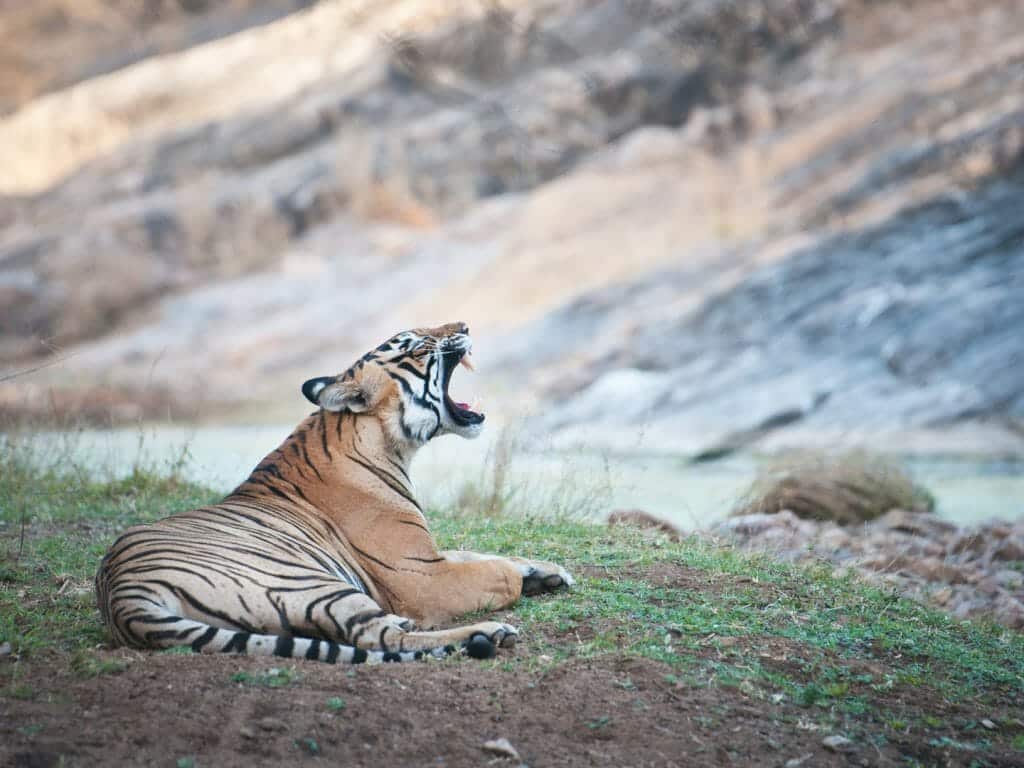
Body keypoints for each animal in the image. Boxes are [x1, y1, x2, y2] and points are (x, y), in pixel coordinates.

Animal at [95, 322, 573, 663]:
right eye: (416, 346)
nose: (466, 325)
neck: (389, 445)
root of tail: (121, 596)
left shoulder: (429, 554)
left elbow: (479, 553)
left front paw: (548, 571)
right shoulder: (420, 575)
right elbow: (496, 572)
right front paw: (525, 578)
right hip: (312, 583)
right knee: (384, 637)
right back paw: (488, 633)